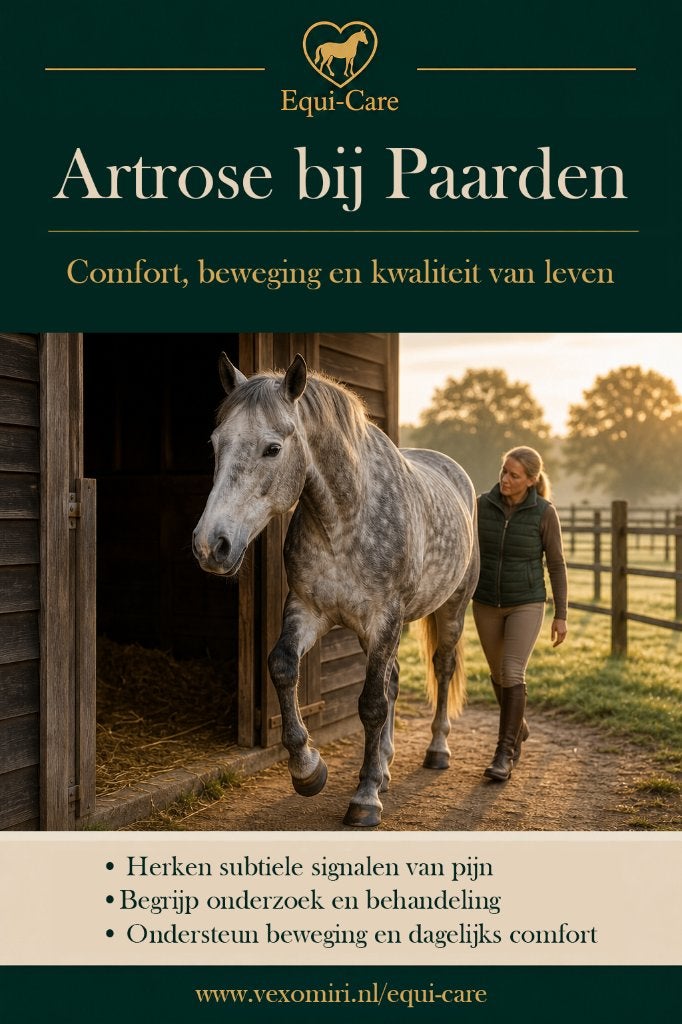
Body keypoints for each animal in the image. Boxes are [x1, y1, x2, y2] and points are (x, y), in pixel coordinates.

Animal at [193, 354, 479, 827]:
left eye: (273, 449)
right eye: (216, 443)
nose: (210, 545)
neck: (345, 520)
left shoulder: (384, 620)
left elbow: (371, 704)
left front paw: (365, 799)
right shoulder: (308, 610)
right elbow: (283, 667)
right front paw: (308, 770)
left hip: (451, 609)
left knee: (441, 669)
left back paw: (436, 751)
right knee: (393, 680)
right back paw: (384, 766)